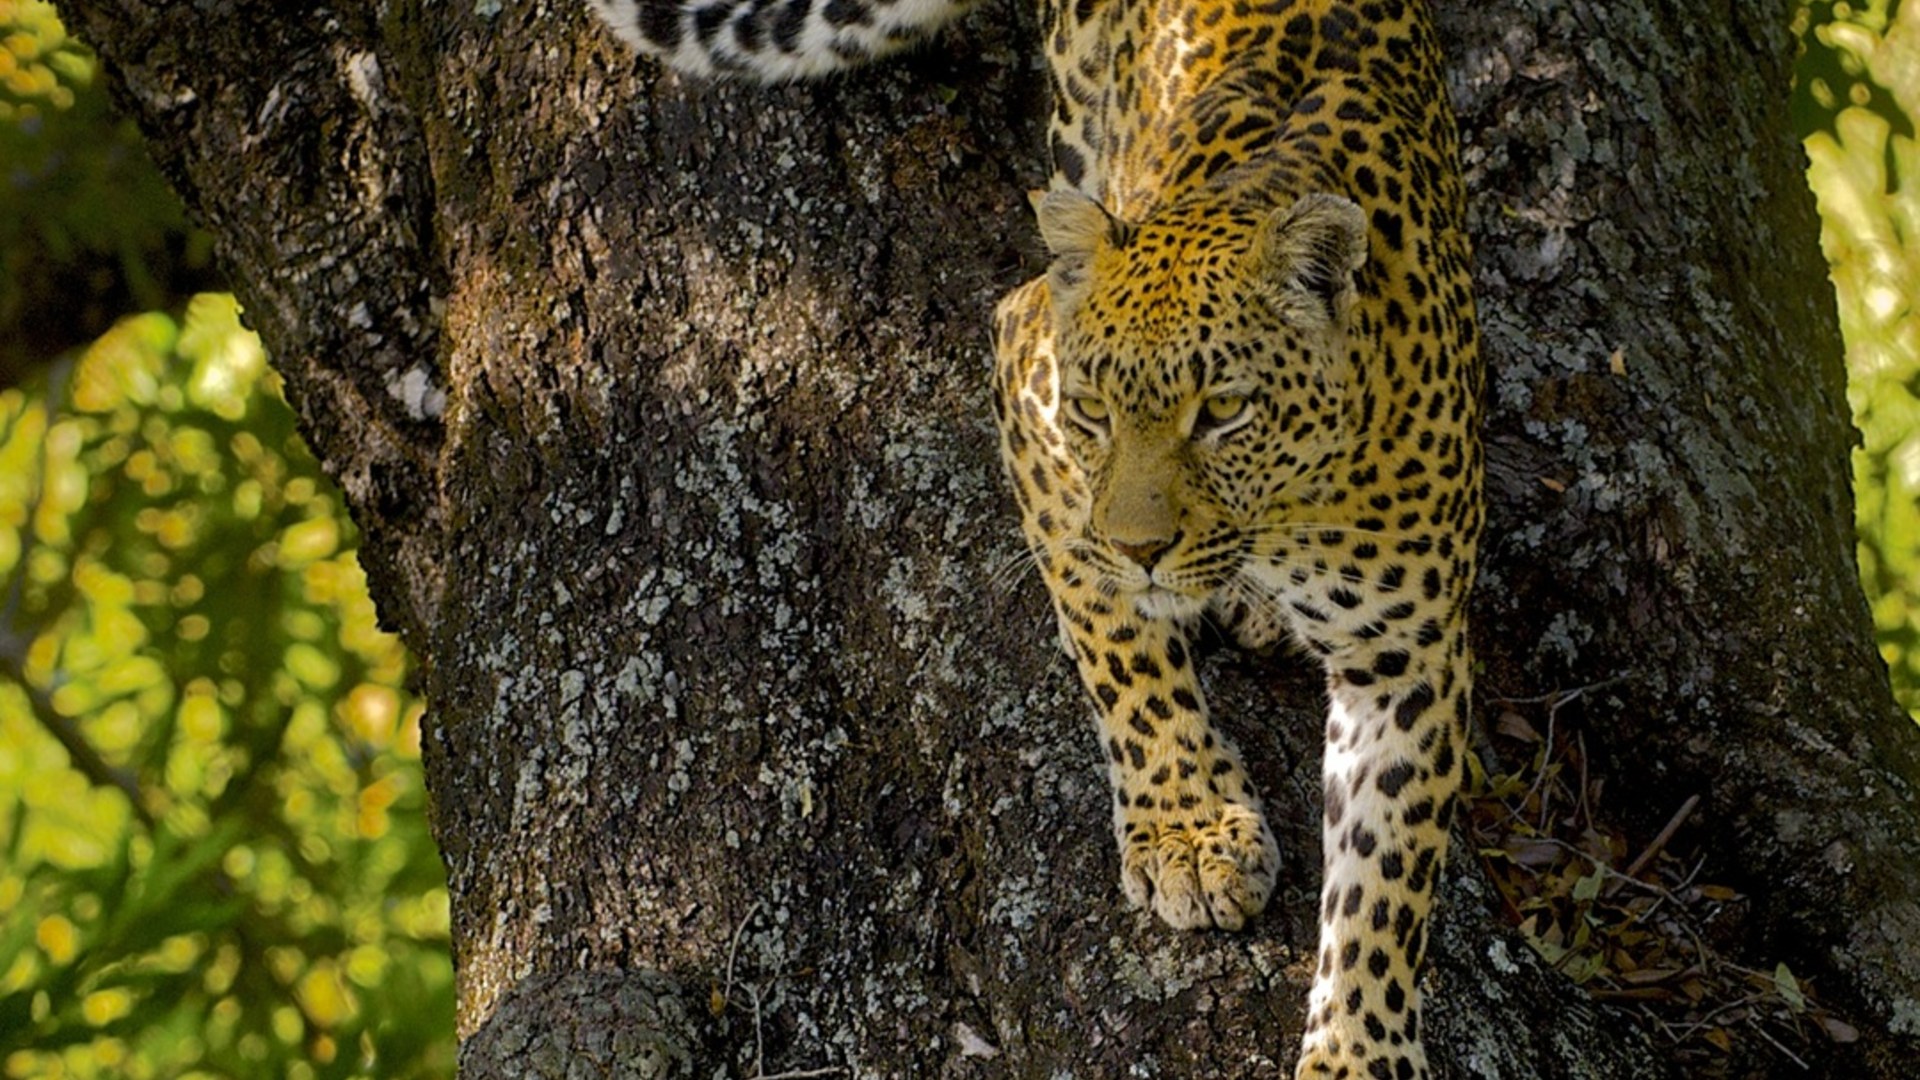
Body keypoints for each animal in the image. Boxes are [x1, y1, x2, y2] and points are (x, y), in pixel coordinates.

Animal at [592, 1, 1482, 1076]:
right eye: (1094, 410)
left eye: (1223, 410)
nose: (1141, 547)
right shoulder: (1029, 367)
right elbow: (1120, 652)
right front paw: (1188, 833)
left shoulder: (1411, 652)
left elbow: (1384, 881)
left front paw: (1357, 1048)